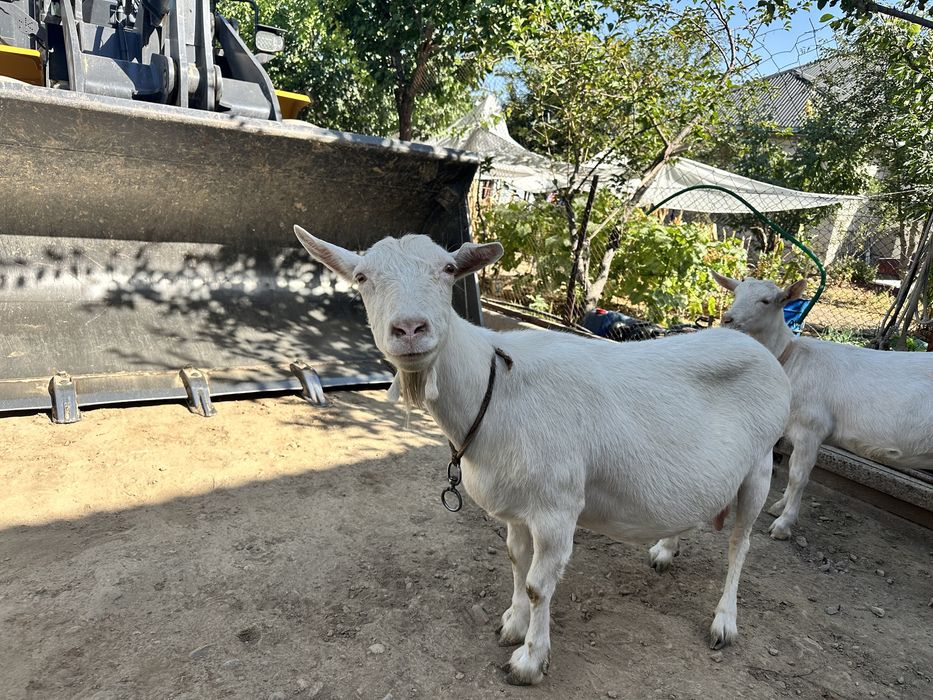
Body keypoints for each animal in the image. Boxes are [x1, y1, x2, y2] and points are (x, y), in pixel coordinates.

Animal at [294, 228, 791, 685]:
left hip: (760, 466)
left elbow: (537, 586)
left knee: (740, 544)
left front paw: (530, 660)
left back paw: (724, 622)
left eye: (449, 270)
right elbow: (516, 560)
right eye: (362, 277)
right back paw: (665, 549)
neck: (494, 387)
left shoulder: (557, 509)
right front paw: (512, 625)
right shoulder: (515, 506)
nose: (410, 329)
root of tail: (758, 349)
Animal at [714, 272, 933, 540]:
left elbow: (798, 476)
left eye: (766, 301)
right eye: (736, 293)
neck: (792, 360)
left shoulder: (811, 427)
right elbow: (792, 469)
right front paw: (779, 506)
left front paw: (784, 524)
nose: (728, 319)